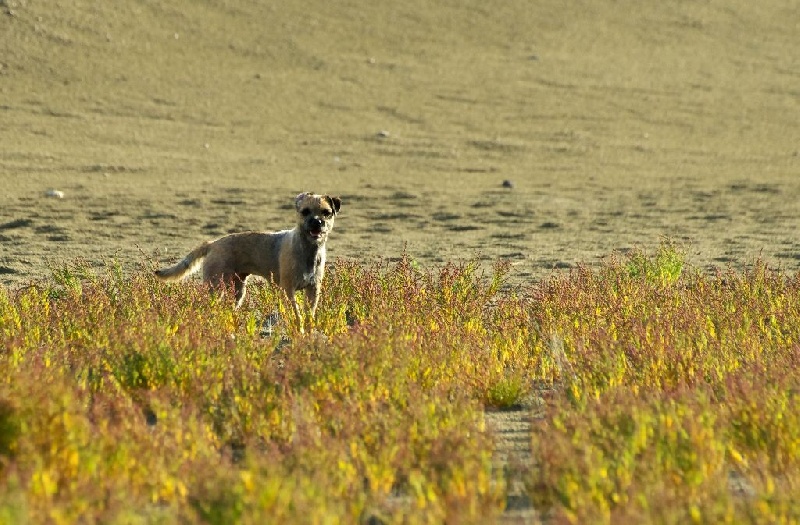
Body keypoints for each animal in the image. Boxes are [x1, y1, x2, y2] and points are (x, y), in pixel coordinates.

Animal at [155, 190, 340, 326]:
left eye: (326, 213)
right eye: (305, 212)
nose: (317, 222)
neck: (308, 250)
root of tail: (213, 244)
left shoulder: (313, 290)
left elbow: (309, 315)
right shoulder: (288, 291)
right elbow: (297, 314)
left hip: (237, 290)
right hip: (216, 287)